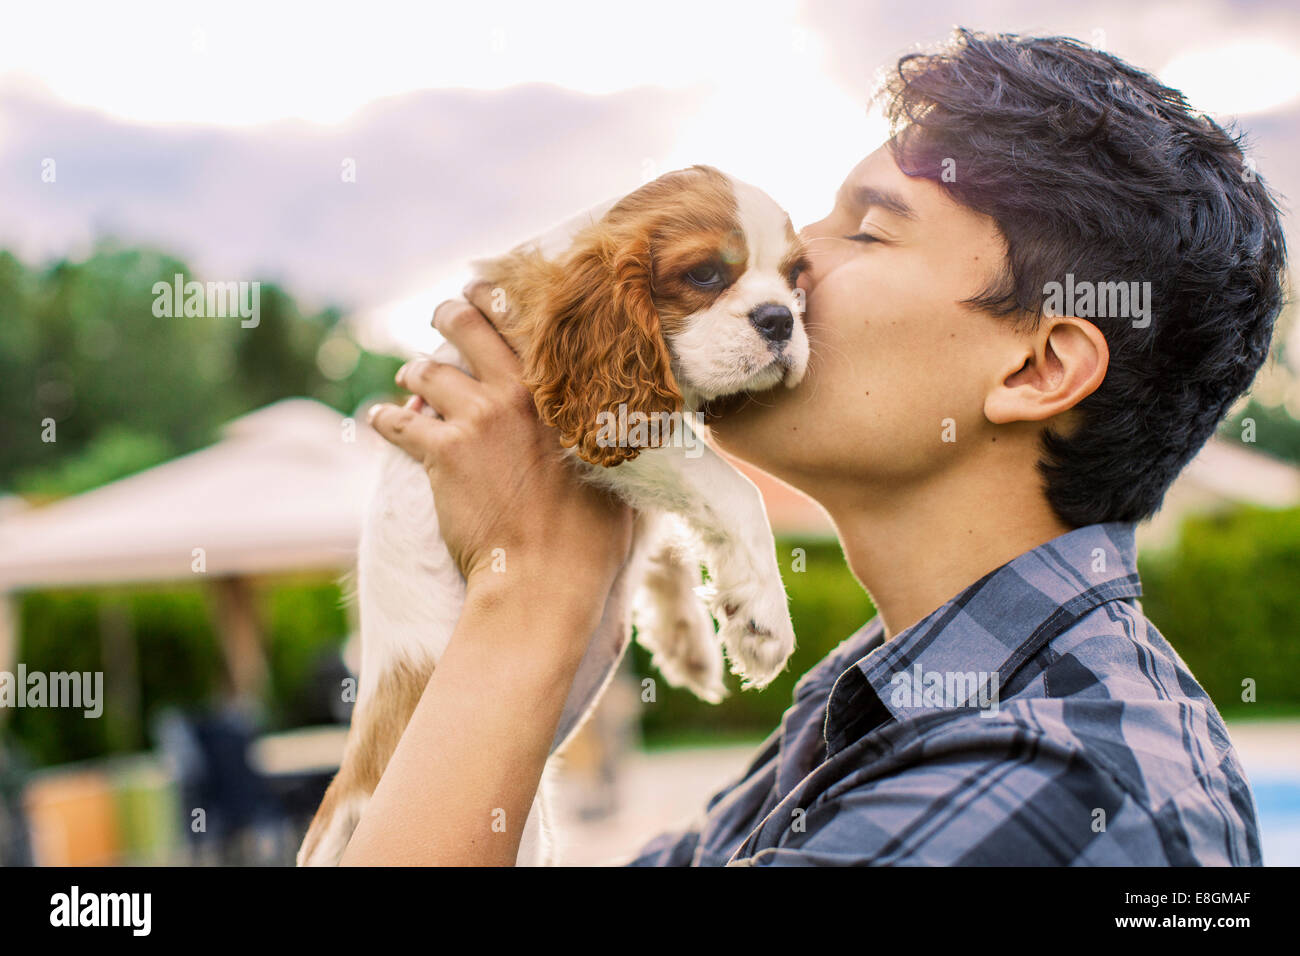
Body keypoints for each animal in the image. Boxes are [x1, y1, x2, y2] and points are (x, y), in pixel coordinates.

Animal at [302, 164, 806, 868]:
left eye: (796, 277)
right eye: (705, 273)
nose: (781, 319)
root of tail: (344, 803)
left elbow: (672, 538)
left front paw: (686, 642)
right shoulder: (607, 421)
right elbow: (734, 491)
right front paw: (761, 619)